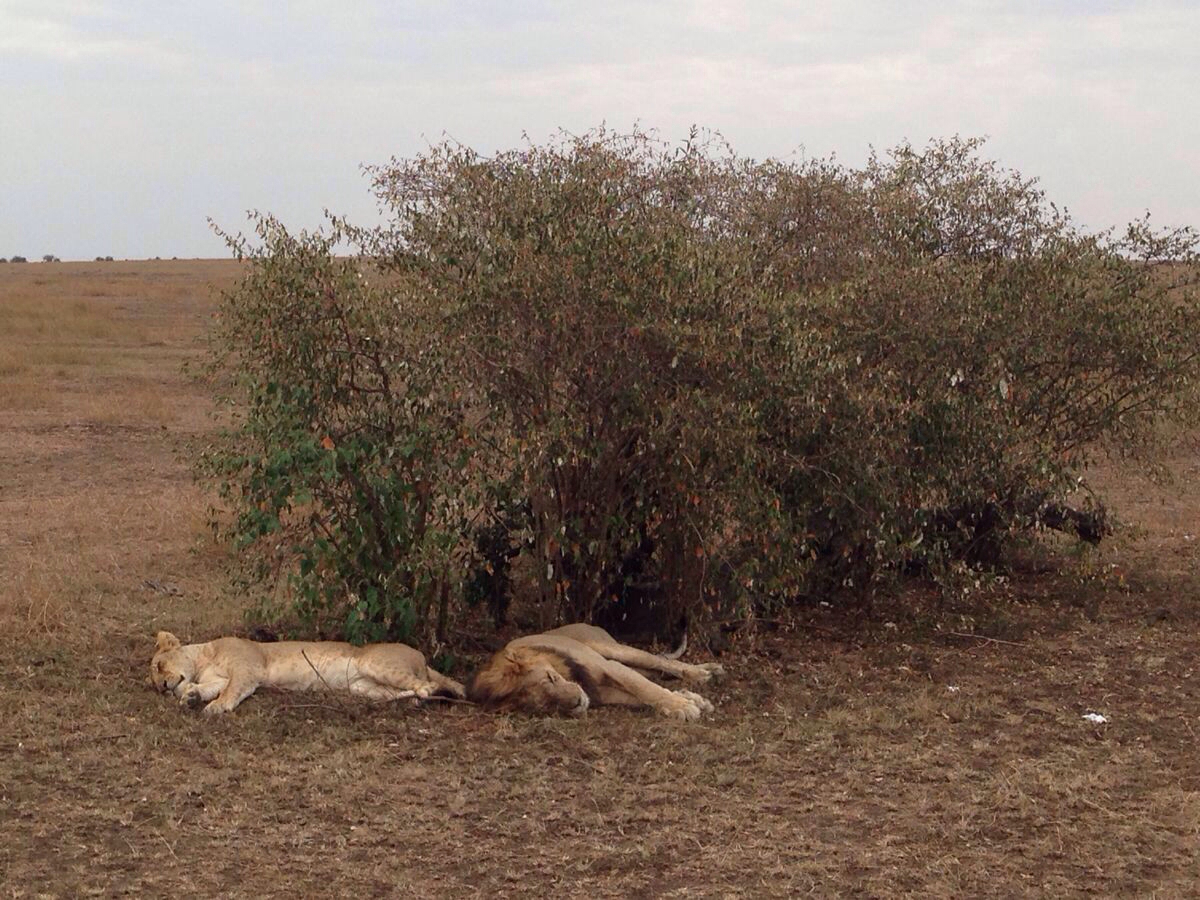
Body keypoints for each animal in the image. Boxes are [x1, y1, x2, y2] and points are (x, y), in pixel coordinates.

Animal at [148, 628, 463, 715]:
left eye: (159, 666)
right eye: (153, 682)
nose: (162, 687)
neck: (202, 659)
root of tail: (420, 655)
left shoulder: (247, 670)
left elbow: (231, 691)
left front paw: (216, 707)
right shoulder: (220, 678)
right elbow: (209, 688)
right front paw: (191, 696)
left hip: (373, 664)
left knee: (427, 684)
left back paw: (424, 696)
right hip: (364, 687)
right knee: (406, 690)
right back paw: (413, 701)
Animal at [463, 624, 715, 724]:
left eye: (551, 678)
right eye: (547, 706)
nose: (577, 702)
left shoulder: (610, 667)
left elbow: (646, 689)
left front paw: (684, 707)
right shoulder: (603, 693)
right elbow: (644, 695)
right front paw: (685, 703)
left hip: (611, 649)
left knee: (661, 662)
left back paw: (705, 672)